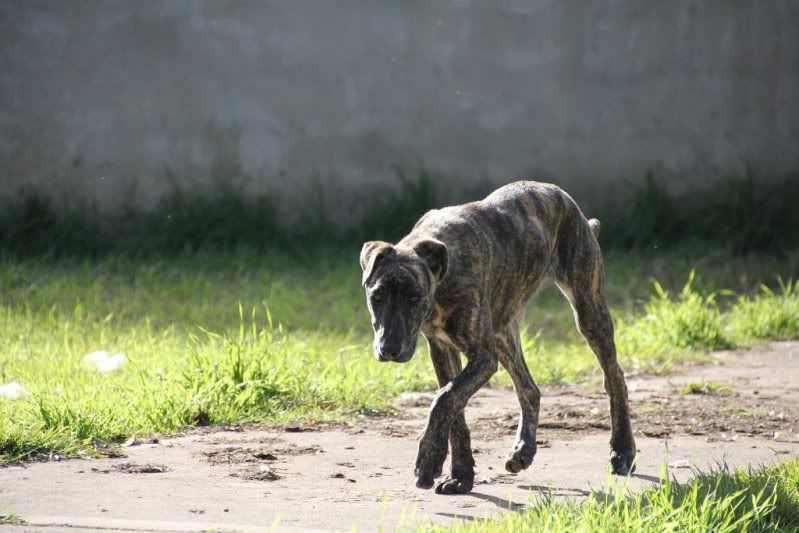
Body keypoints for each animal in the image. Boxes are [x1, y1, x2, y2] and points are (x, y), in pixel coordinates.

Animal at [362, 182, 636, 494]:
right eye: (376, 296)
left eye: (414, 298)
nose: (390, 349)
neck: (443, 274)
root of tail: (566, 200)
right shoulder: (442, 349)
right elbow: (454, 408)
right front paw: (461, 474)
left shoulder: (483, 358)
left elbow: (444, 400)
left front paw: (429, 460)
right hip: (503, 331)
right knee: (529, 389)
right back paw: (523, 451)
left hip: (588, 309)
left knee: (615, 378)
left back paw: (622, 451)